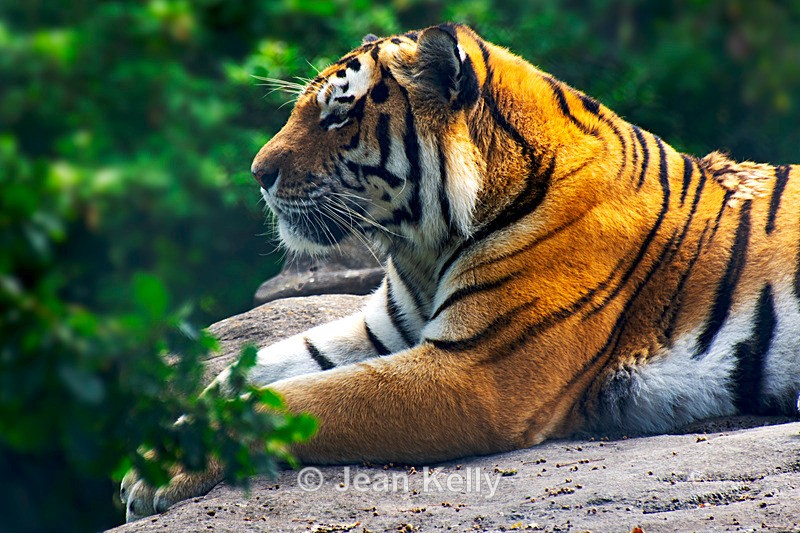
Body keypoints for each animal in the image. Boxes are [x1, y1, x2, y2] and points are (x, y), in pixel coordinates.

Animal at [121, 23, 800, 521]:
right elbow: (247, 376)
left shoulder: (477, 374)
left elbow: (300, 399)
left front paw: (168, 470)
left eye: (338, 116)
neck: (422, 244)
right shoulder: (384, 329)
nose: (258, 173)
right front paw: (156, 452)